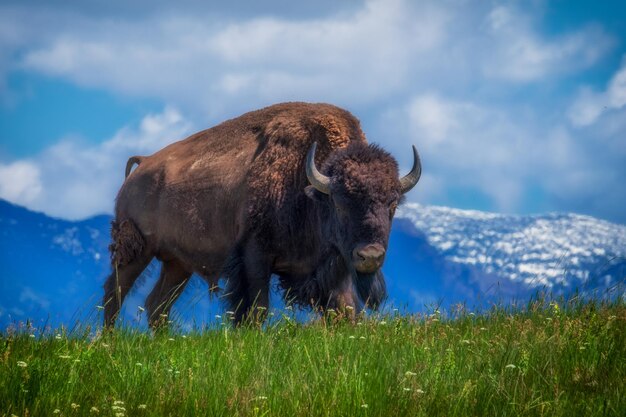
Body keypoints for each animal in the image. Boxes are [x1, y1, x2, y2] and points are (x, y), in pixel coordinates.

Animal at [103, 101, 420, 324]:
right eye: (340, 203)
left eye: (392, 204)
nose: (370, 256)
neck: (309, 185)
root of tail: (143, 165)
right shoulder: (254, 256)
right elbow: (257, 308)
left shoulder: (333, 266)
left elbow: (345, 309)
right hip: (136, 250)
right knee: (114, 293)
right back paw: (108, 340)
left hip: (178, 264)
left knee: (158, 305)